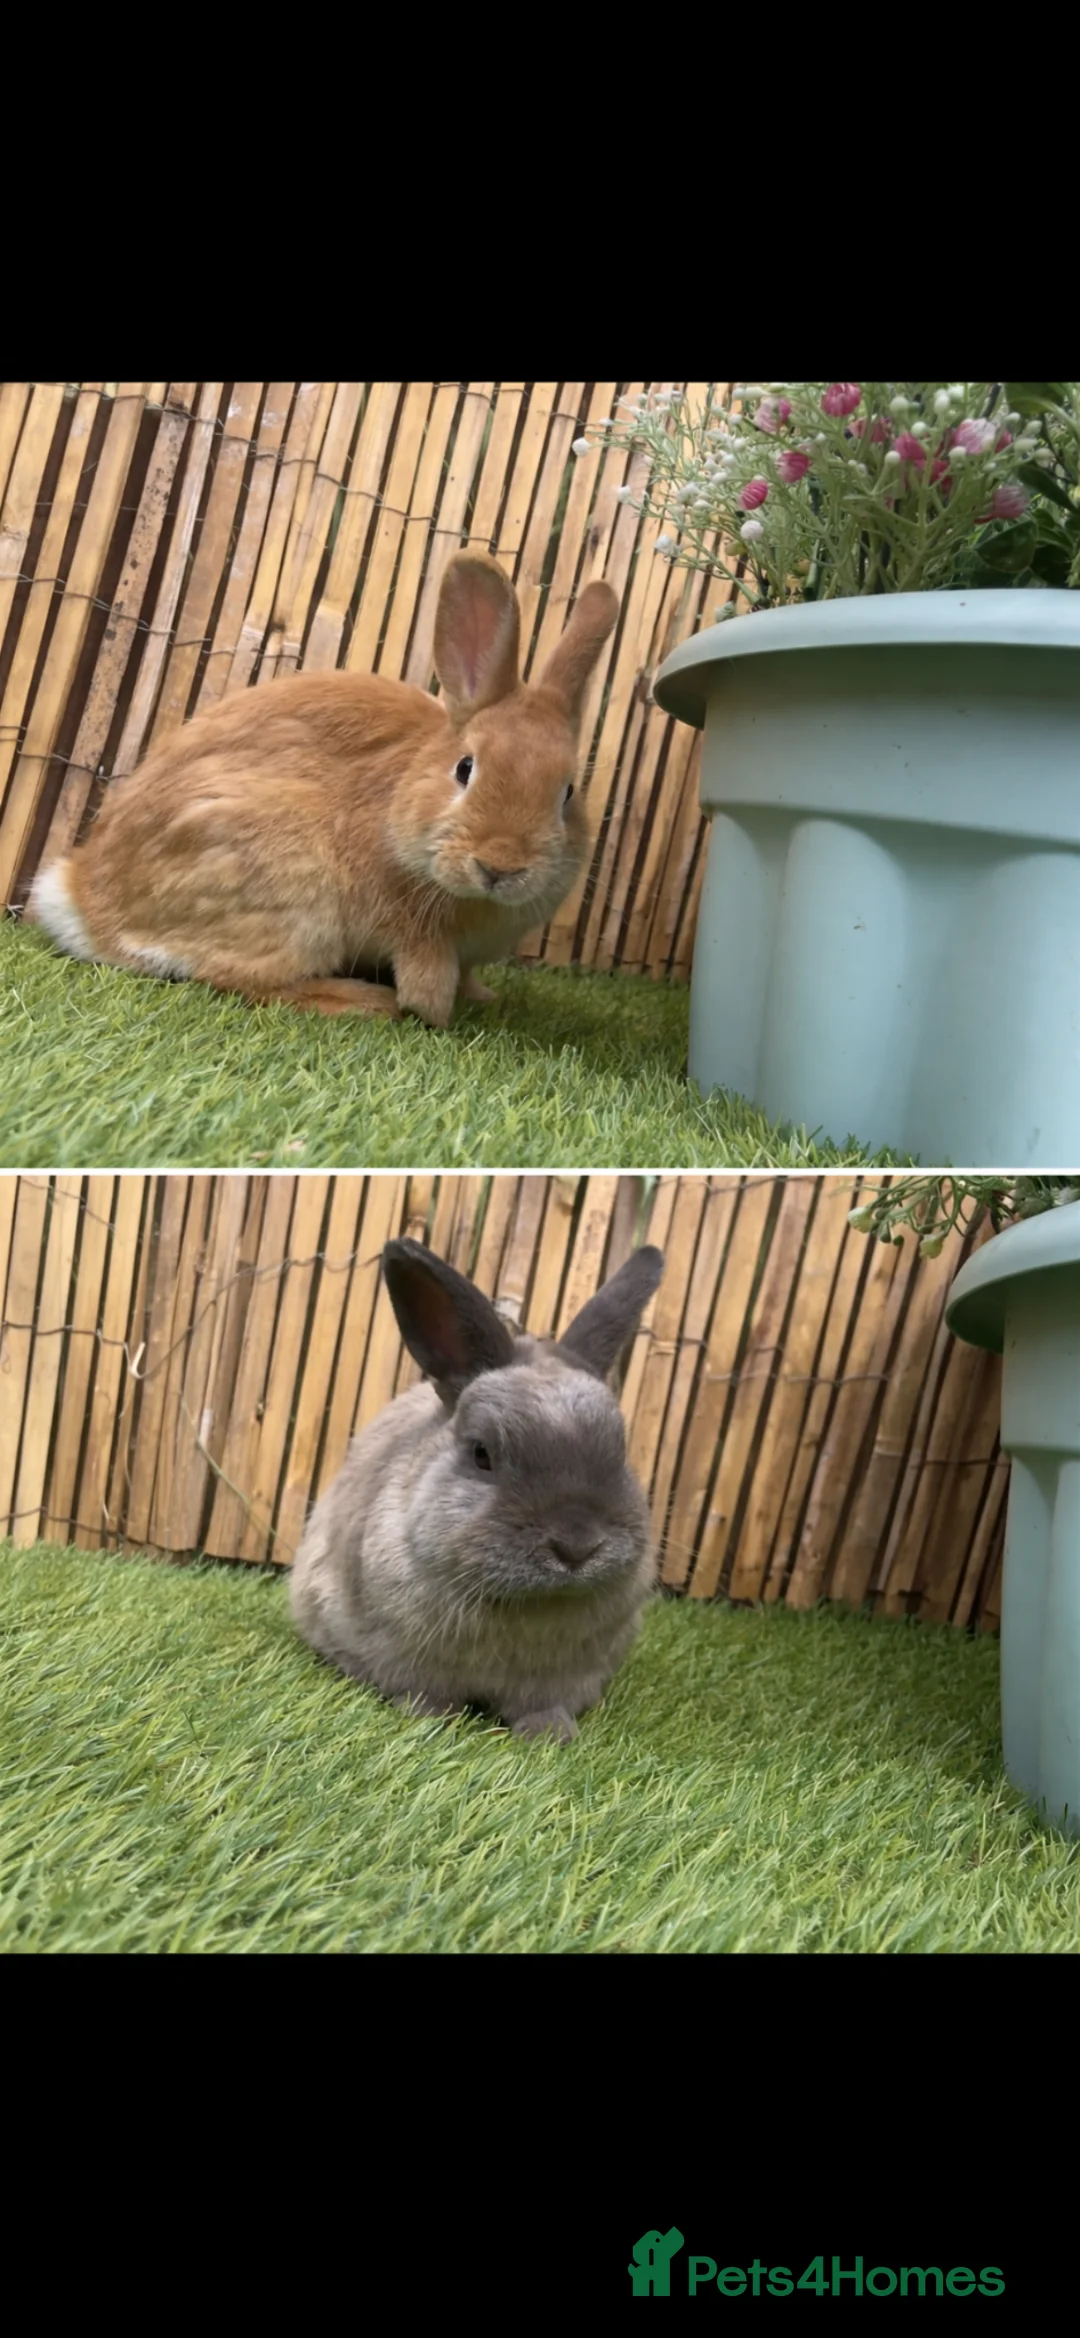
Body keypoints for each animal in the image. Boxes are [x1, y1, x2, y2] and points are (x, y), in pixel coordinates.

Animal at [25, 552, 619, 1027]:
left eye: (567, 793)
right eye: (465, 768)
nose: (499, 866)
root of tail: (85, 904)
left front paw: (482, 996)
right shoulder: (411, 927)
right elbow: (426, 978)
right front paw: (434, 1012)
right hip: (293, 895)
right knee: (237, 979)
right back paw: (363, 1001)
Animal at [290, 1234, 665, 1741]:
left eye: (620, 1452)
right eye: (481, 1454)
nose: (577, 1546)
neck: (526, 1606)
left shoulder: (561, 1678)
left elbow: (545, 1706)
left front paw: (552, 1736)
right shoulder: (413, 1663)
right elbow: (425, 1697)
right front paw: (435, 1724)